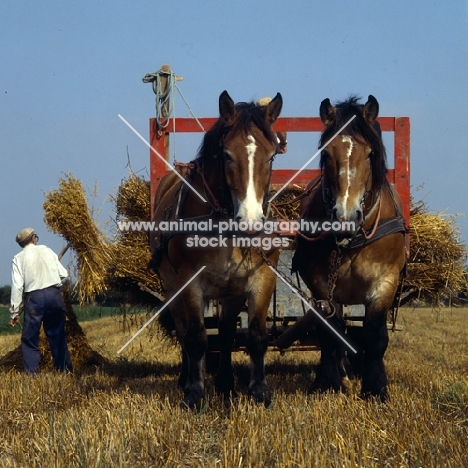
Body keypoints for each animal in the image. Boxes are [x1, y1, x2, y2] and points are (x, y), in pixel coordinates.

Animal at [151, 89, 282, 408]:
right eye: (226, 155)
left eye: (271, 156)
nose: (250, 221)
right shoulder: (190, 281)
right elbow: (197, 337)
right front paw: (194, 393)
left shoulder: (262, 277)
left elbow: (255, 335)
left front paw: (259, 391)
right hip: (172, 288)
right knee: (184, 330)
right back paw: (186, 379)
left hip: (231, 292)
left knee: (225, 332)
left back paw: (224, 382)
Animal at [292, 96, 406, 402]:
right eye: (327, 153)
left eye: (369, 154)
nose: (345, 217)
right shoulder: (321, 284)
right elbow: (331, 332)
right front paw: (326, 383)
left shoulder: (385, 282)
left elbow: (375, 336)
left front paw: (376, 388)